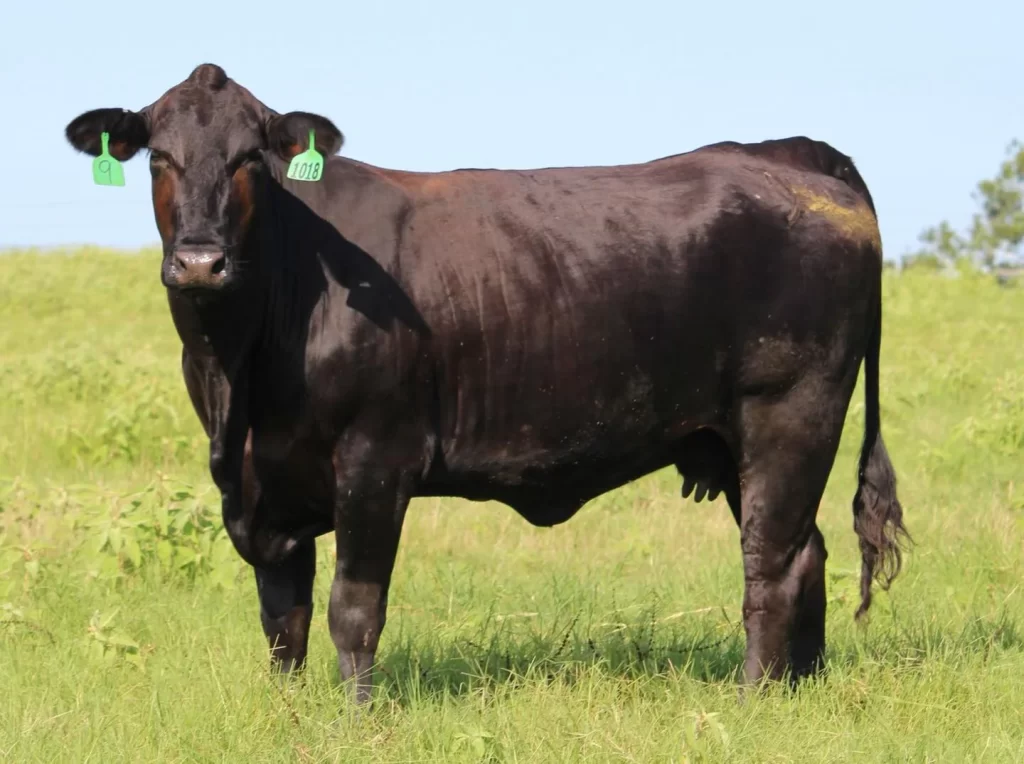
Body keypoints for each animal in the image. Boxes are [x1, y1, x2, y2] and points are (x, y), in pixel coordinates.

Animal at [64, 63, 909, 705]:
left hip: (788, 413)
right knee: (808, 552)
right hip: (730, 439)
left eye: (249, 159)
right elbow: (284, 621)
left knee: (773, 562)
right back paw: (801, 688)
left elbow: (351, 609)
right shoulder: (258, 486)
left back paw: (754, 698)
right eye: (157, 158)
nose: (200, 261)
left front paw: (356, 719)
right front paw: (288, 712)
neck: (240, 369)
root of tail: (792, 153)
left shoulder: (375, 458)